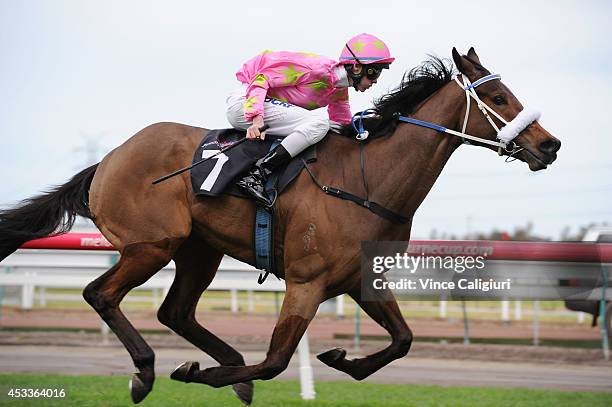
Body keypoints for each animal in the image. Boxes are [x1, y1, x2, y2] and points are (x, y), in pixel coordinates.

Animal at [0, 48, 560, 404]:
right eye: (501, 98)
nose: (550, 145)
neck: (366, 180)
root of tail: (109, 158)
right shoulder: (306, 282)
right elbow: (275, 360)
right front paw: (204, 373)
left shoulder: (360, 279)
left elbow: (403, 340)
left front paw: (341, 359)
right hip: (152, 244)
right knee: (100, 294)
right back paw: (148, 370)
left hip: (199, 251)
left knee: (175, 311)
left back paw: (221, 367)